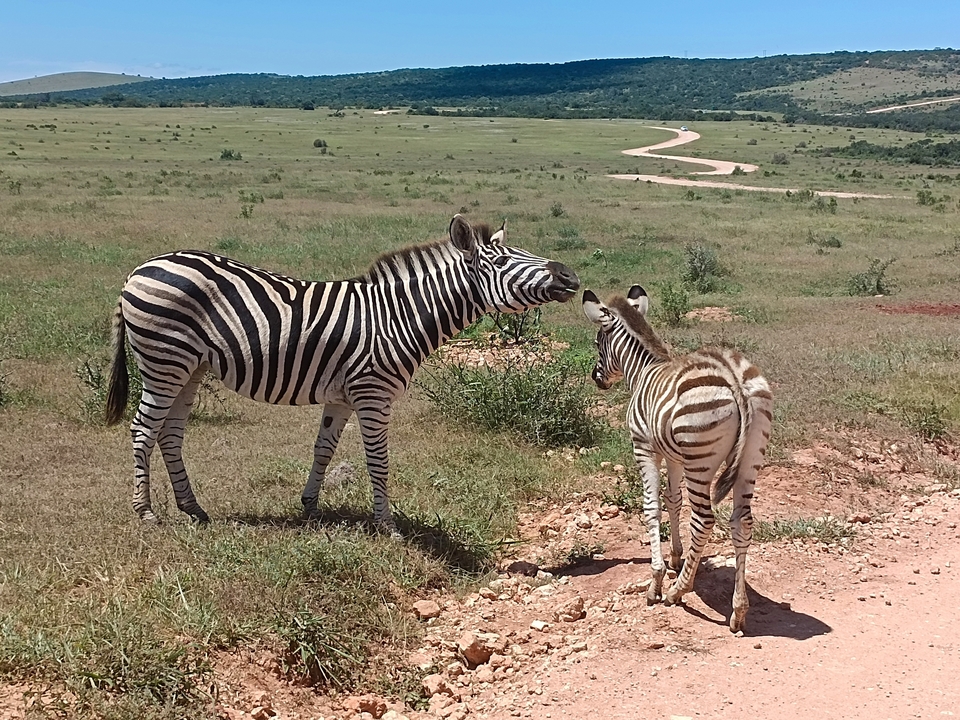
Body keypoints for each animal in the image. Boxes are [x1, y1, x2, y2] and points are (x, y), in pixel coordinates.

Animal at [106, 214, 580, 533]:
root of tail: (138, 270)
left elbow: (323, 449)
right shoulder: (373, 394)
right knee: (143, 429)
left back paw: (193, 508)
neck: (398, 316)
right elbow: (378, 460)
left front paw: (311, 506)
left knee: (170, 433)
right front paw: (387, 525)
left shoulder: (341, 396)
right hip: (165, 360)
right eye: (499, 263)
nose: (571, 276)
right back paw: (146, 512)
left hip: (190, 366)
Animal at [582, 285, 772, 632]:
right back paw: (738, 611)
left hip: (701, 461)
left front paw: (656, 581)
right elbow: (673, 499)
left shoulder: (644, 447)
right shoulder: (672, 455)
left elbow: (652, 506)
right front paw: (675, 556)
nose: (596, 378)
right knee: (743, 521)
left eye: (597, 342)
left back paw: (676, 591)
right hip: (751, 458)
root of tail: (734, 376)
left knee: (704, 520)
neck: (643, 370)